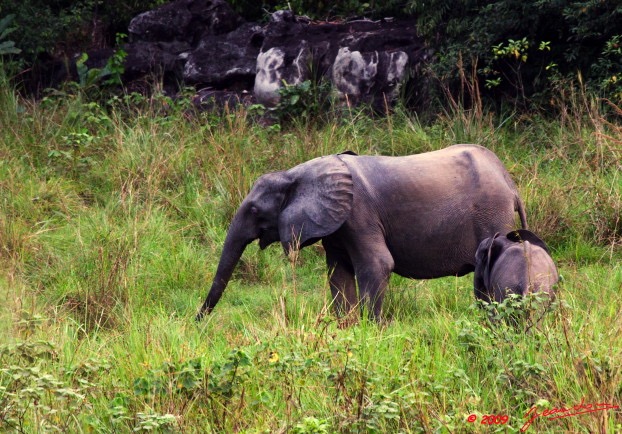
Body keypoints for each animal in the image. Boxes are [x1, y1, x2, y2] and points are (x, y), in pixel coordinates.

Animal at [197, 145, 528, 322]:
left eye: (254, 210)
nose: (198, 320)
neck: (297, 173)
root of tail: (510, 184)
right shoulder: (336, 224)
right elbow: (338, 274)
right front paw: (345, 327)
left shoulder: (358, 214)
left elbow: (377, 264)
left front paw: (373, 330)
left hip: (492, 214)